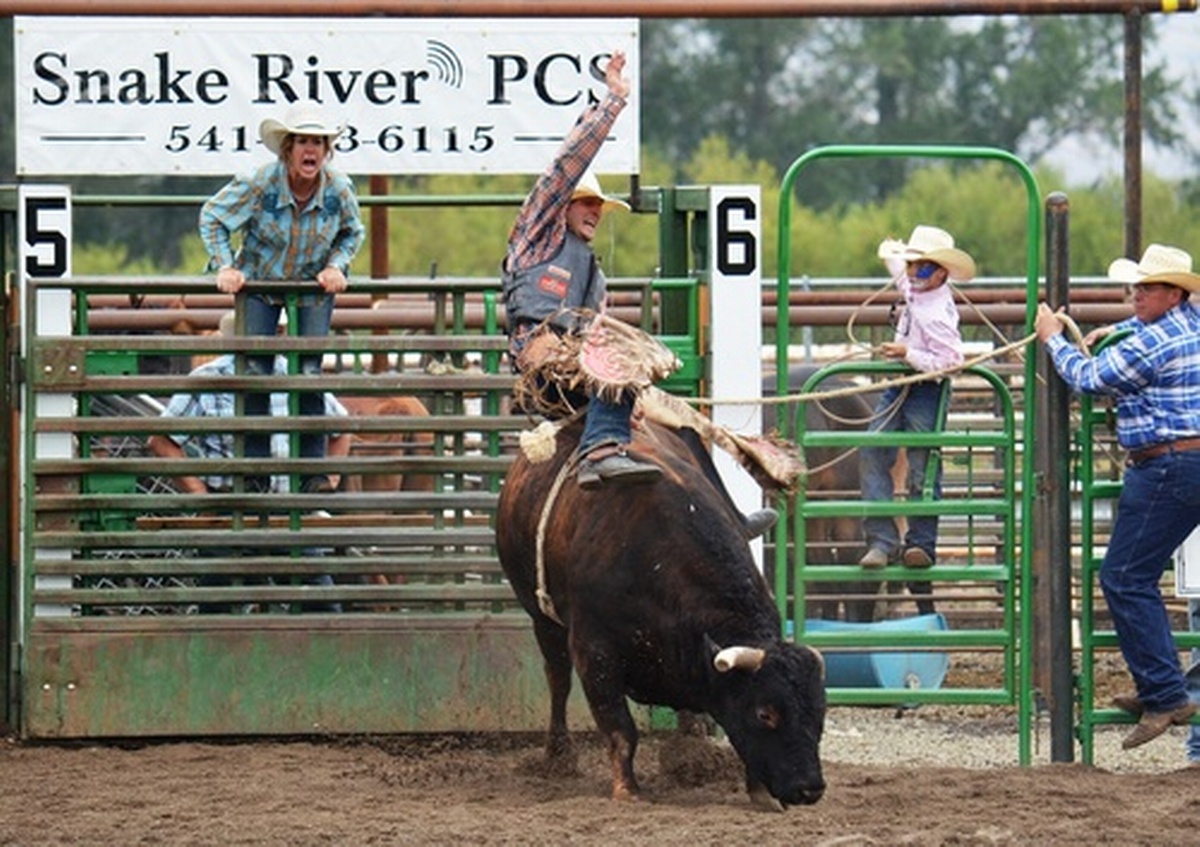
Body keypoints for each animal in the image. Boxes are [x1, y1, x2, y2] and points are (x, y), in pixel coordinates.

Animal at [496, 417, 825, 811]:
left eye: (821, 711)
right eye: (766, 713)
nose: (810, 788)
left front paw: (758, 792)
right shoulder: (594, 650)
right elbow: (620, 728)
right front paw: (627, 789)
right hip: (541, 617)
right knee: (558, 678)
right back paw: (558, 755)